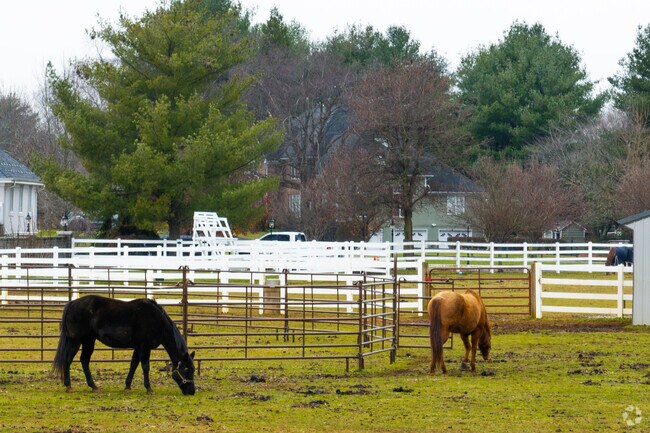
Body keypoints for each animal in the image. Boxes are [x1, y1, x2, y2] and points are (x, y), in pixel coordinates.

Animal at [53, 295, 196, 395]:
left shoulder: (138, 348)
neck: (157, 320)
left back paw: (93, 386)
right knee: (68, 360)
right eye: (187, 369)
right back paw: (69, 386)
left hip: (89, 340)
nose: (192, 391)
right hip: (76, 341)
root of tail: (72, 303)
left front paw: (127, 387)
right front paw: (149, 388)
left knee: (84, 360)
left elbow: (133, 365)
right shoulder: (144, 347)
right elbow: (145, 367)